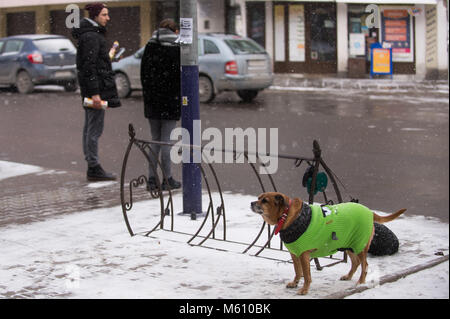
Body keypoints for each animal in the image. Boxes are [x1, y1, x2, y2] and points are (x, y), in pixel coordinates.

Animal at [251, 191, 406, 296]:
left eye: (264, 200)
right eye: (259, 198)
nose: (252, 203)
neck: (287, 215)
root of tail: (369, 212)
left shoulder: (303, 254)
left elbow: (306, 274)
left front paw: (304, 289)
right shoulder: (294, 253)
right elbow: (297, 270)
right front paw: (295, 283)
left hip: (359, 246)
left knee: (364, 265)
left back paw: (360, 282)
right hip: (348, 243)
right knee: (356, 263)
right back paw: (348, 276)